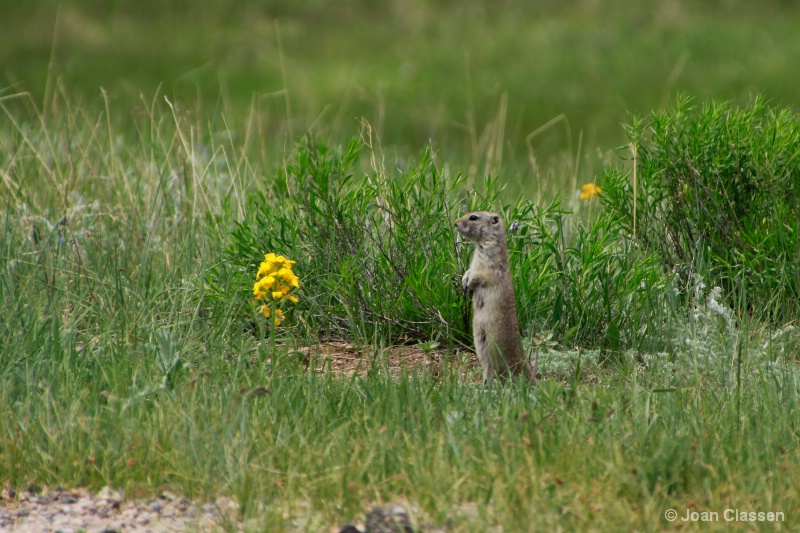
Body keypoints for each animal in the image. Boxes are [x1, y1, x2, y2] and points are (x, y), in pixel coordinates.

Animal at [454, 210, 536, 380]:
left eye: (473, 217)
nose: (455, 223)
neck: (481, 244)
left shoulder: (491, 265)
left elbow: (480, 275)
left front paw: (469, 284)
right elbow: (469, 271)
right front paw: (464, 283)